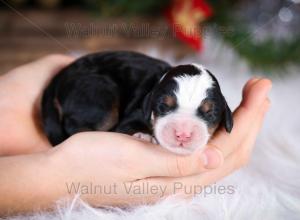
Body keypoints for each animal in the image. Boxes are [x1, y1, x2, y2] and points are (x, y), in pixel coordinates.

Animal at [40, 51, 232, 155]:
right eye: (164, 106)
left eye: (210, 113)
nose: (183, 134)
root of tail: (59, 77)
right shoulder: (135, 113)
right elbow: (129, 125)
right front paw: (143, 135)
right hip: (100, 92)